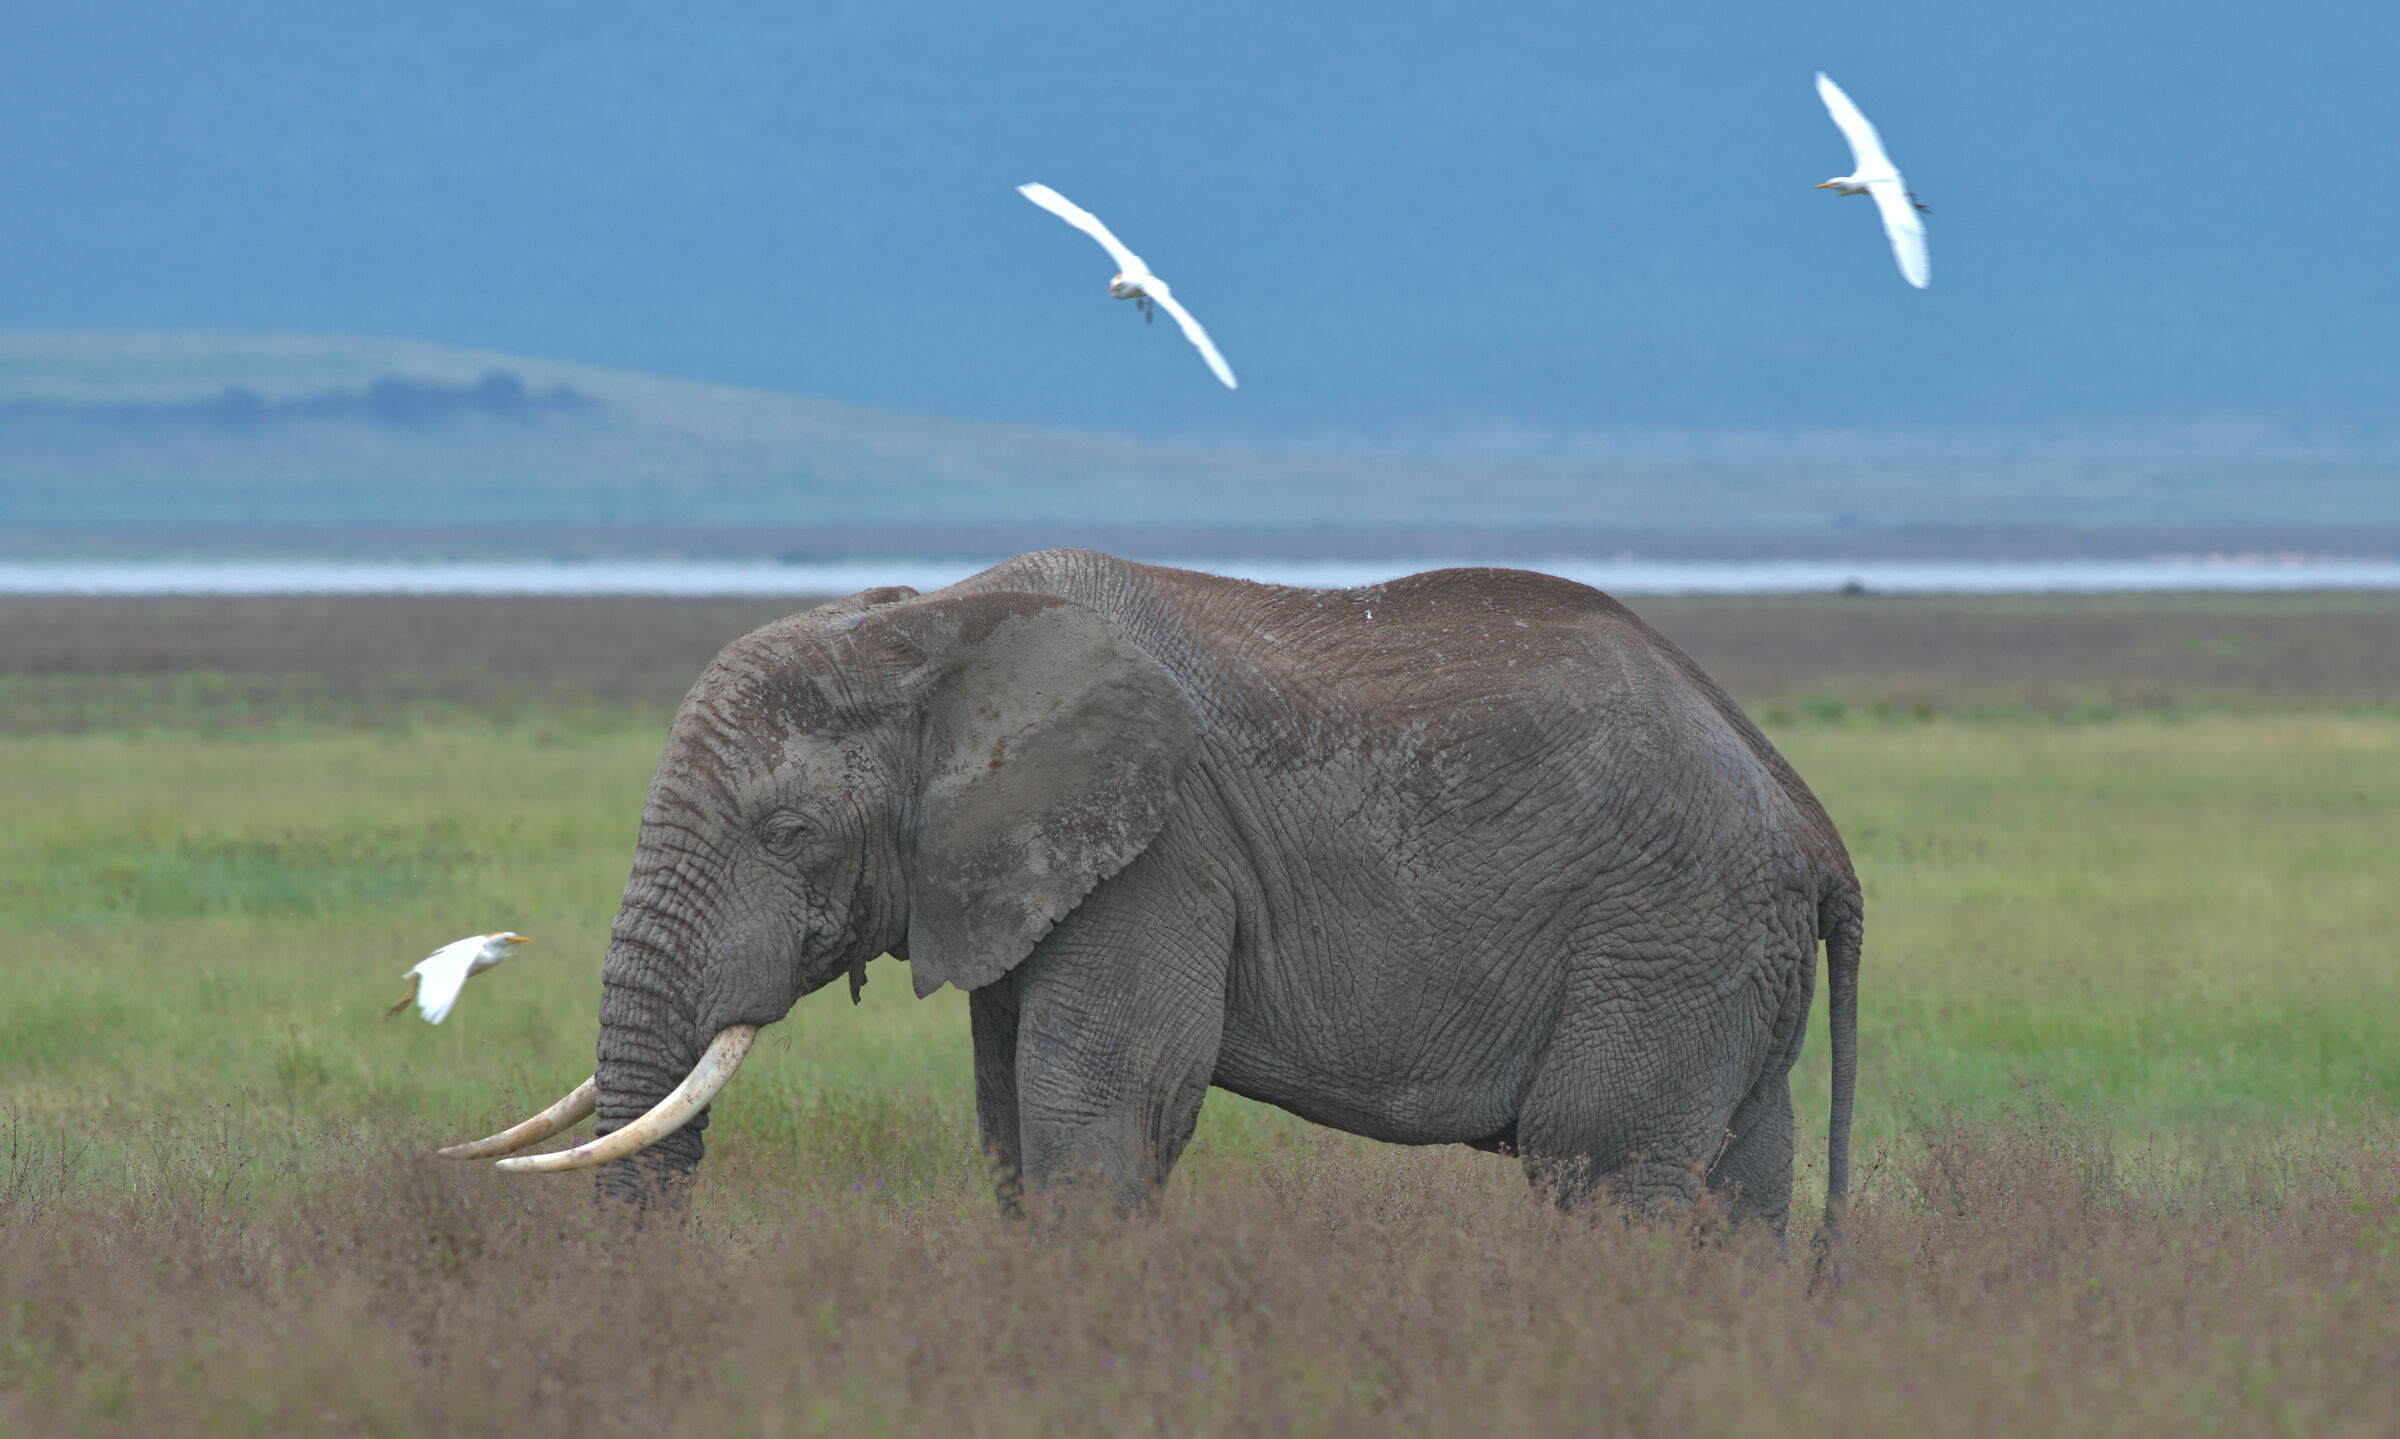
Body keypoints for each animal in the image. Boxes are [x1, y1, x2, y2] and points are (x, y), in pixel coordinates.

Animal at [446, 549, 1863, 1235]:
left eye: (787, 830)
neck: (936, 622)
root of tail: (1811, 816)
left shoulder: (1163, 853)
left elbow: (1103, 1100)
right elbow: (1010, 1114)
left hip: (1669, 937)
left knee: (1599, 1162)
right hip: (1726, 961)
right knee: (1744, 1179)